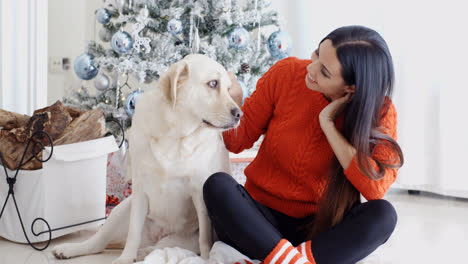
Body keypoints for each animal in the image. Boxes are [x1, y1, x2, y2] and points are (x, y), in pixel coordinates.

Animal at [52, 54, 241, 264]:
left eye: (229, 89)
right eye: (213, 83)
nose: (239, 114)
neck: (175, 134)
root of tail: (157, 236)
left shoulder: (199, 194)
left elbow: (205, 239)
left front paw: (207, 259)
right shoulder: (140, 189)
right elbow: (133, 233)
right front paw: (125, 258)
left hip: (178, 241)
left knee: (158, 248)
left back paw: (143, 254)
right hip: (121, 211)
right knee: (98, 242)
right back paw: (71, 249)